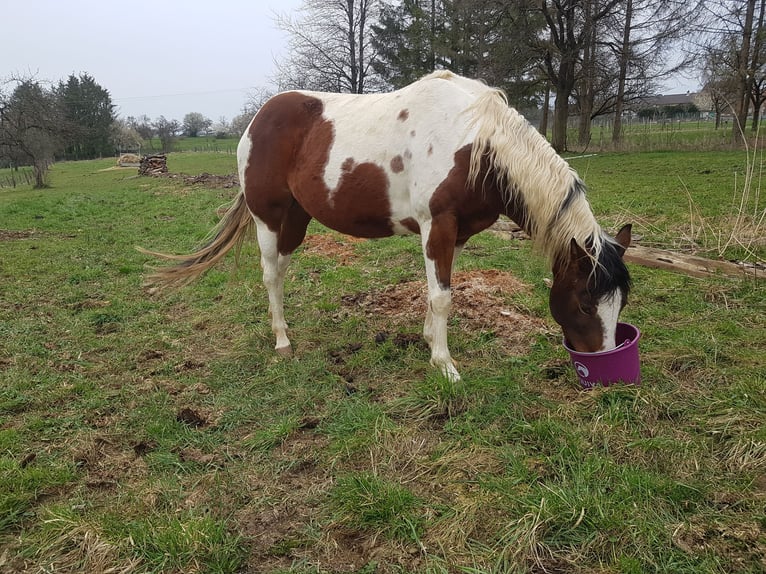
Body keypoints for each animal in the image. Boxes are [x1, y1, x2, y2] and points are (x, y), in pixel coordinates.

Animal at [141, 71, 632, 382]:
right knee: (269, 275)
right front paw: (445, 365)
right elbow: (441, 296)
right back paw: (281, 340)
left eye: (620, 304)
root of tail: (258, 118)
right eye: (585, 302)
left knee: (280, 268)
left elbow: (438, 292)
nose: (603, 361)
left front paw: (429, 343)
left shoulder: (453, 233)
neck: (477, 146)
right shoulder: (438, 225)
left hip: (296, 219)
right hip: (269, 217)